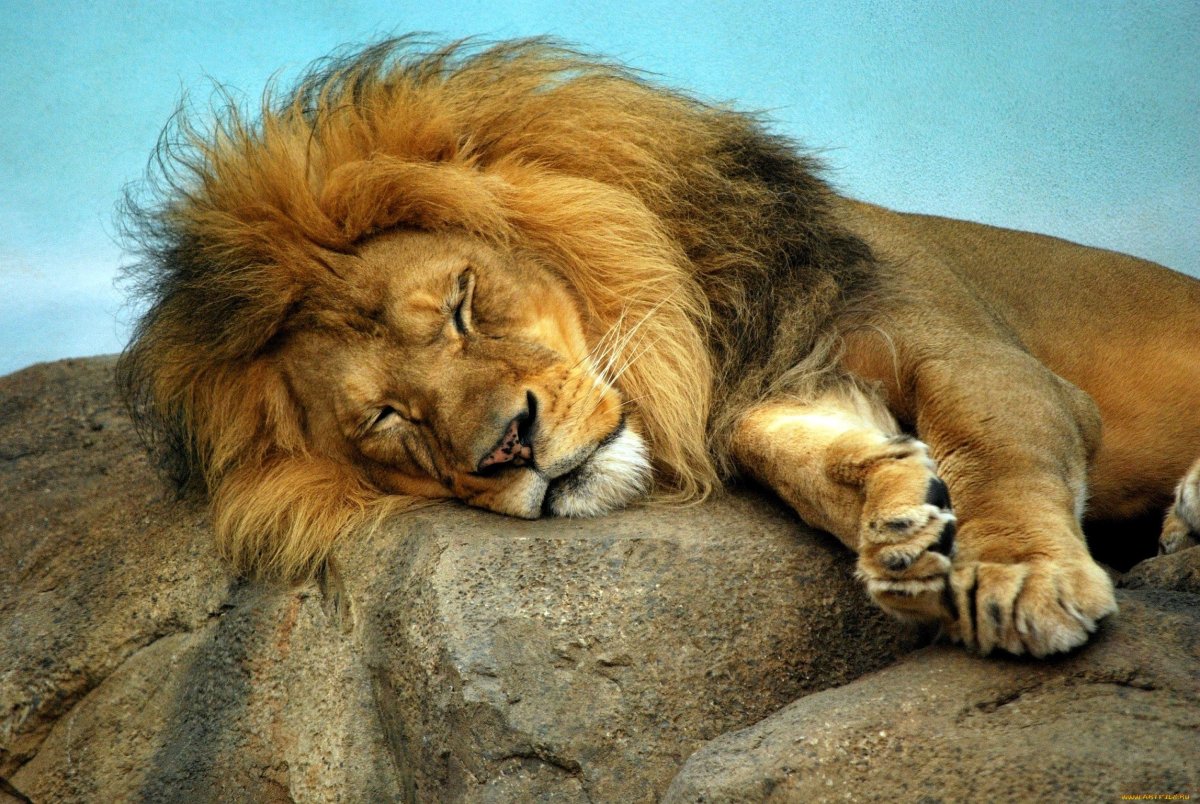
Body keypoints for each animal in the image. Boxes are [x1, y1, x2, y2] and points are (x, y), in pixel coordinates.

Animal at [118, 37, 1200, 658]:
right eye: (388, 417)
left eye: (461, 304)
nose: (510, 446)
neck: (699, 326)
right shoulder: (770, 388)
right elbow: (795, 450)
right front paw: (905, 523)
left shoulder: (976, 354)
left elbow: (996, 448)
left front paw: (1018, 576)